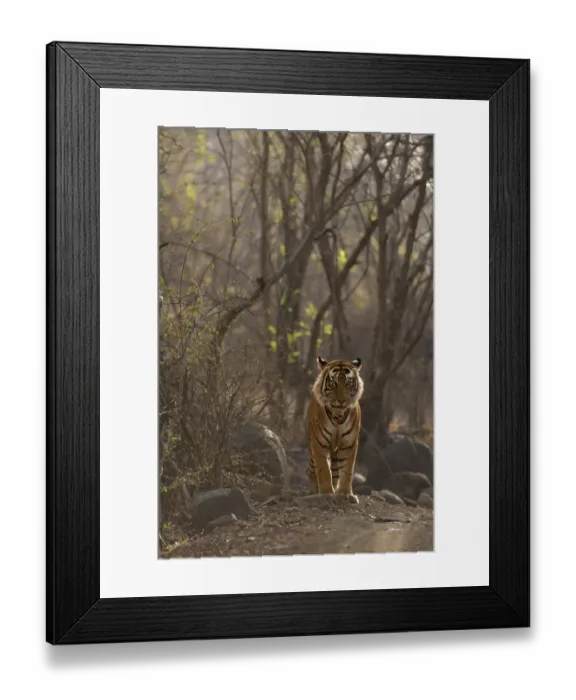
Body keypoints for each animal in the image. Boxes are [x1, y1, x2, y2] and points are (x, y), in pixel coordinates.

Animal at [306, 356, 364, 503]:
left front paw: (344, 493)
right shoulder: (318, 443)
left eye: (348, 384)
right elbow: (323, 469)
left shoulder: (349, 443)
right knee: (312, 469)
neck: (338, 414)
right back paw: (314, 488)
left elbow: (347, 470)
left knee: (336, 470)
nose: (342, 401)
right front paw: (326, 492)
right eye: (333, 384)